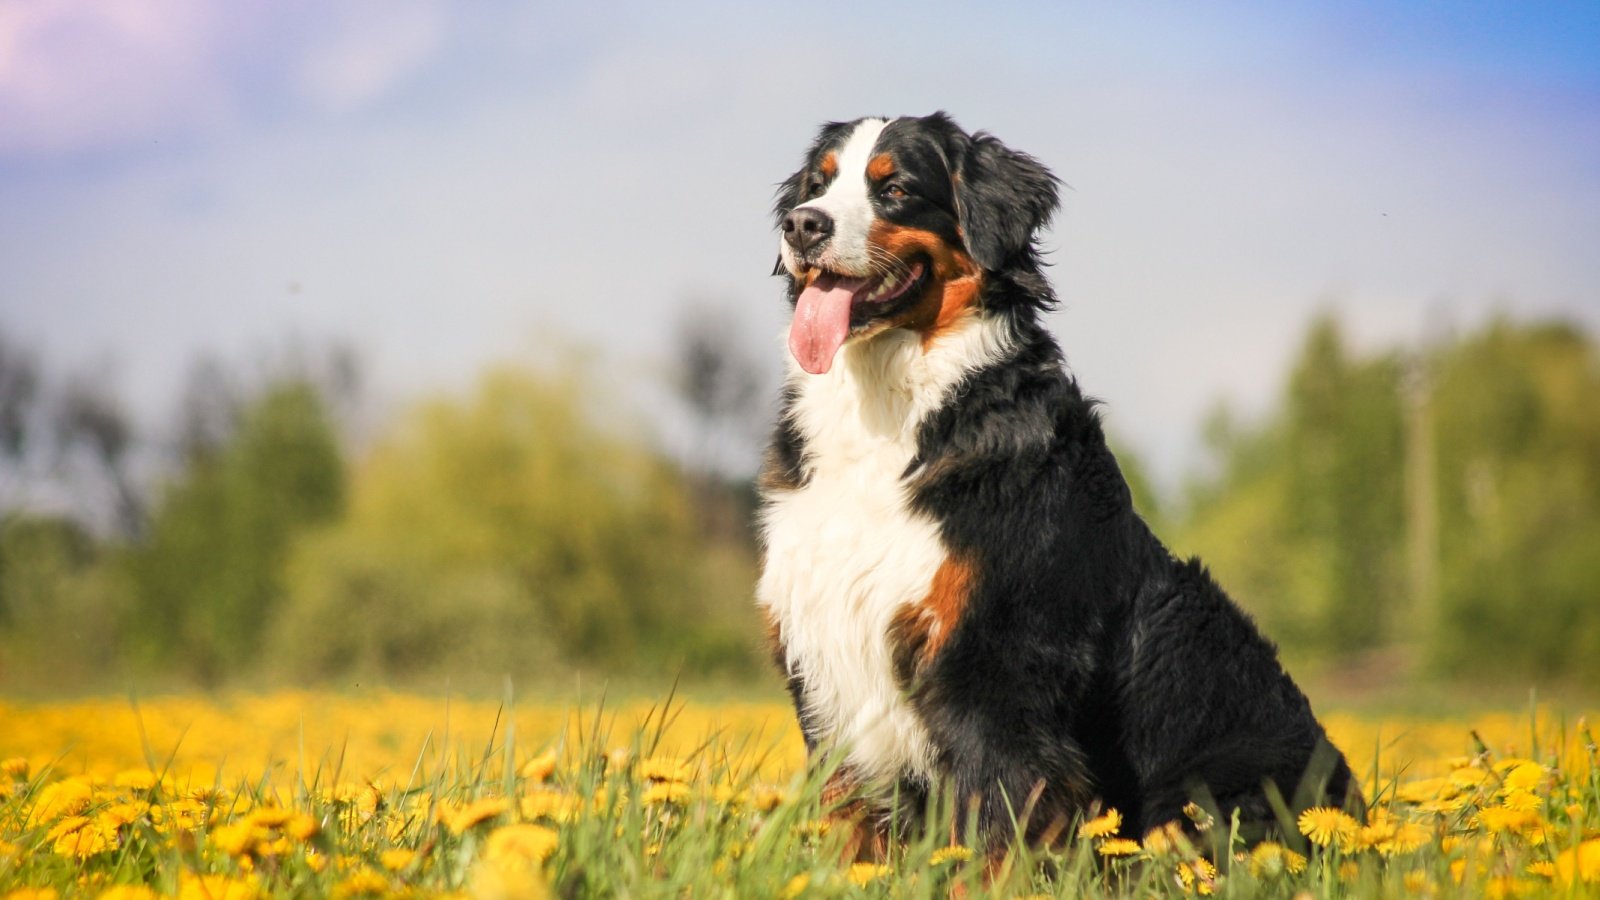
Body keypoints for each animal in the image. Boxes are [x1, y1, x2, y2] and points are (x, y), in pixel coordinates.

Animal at [755, 110, 1356, 845]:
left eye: (894, 188)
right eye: (819, 183)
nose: (802, 225)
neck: (890, 409)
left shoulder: (995, 671)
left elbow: (991, 833)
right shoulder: (828, 666)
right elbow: (848, 830)